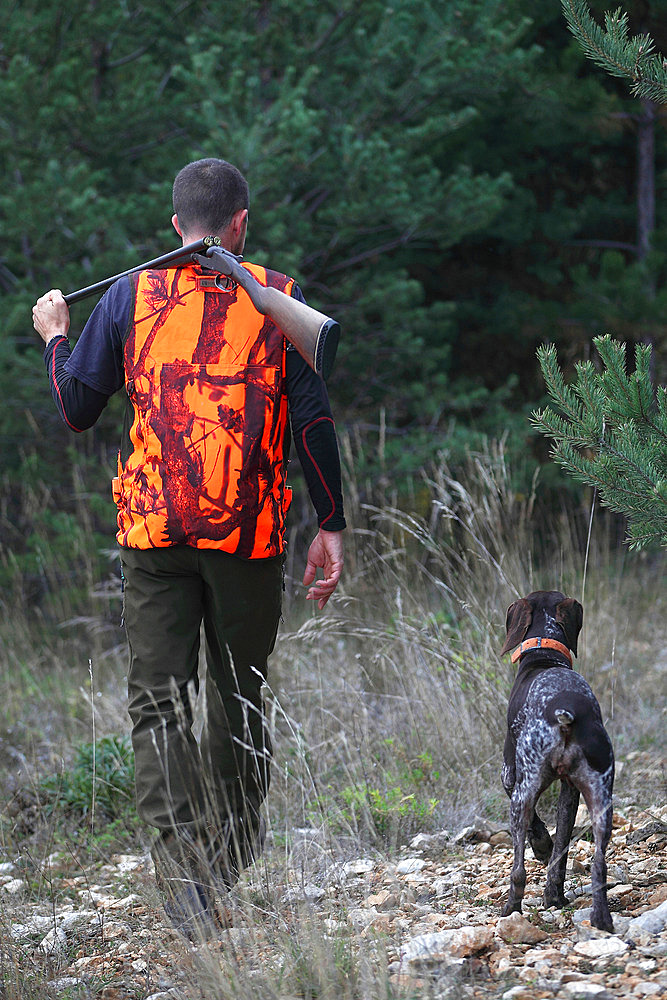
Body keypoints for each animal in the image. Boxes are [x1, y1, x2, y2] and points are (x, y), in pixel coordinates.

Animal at [500, 588, 616, 932]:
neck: (544, 657)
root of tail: (566, 714)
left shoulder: (510, 776)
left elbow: (540, 831)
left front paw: (543, 849)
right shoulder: (571, 791)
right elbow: (561, 847)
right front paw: (554, 895)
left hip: (522, 794)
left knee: (518, 870)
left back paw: (510, 909)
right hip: (602, 798)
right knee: (599, 864)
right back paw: (600, 918)